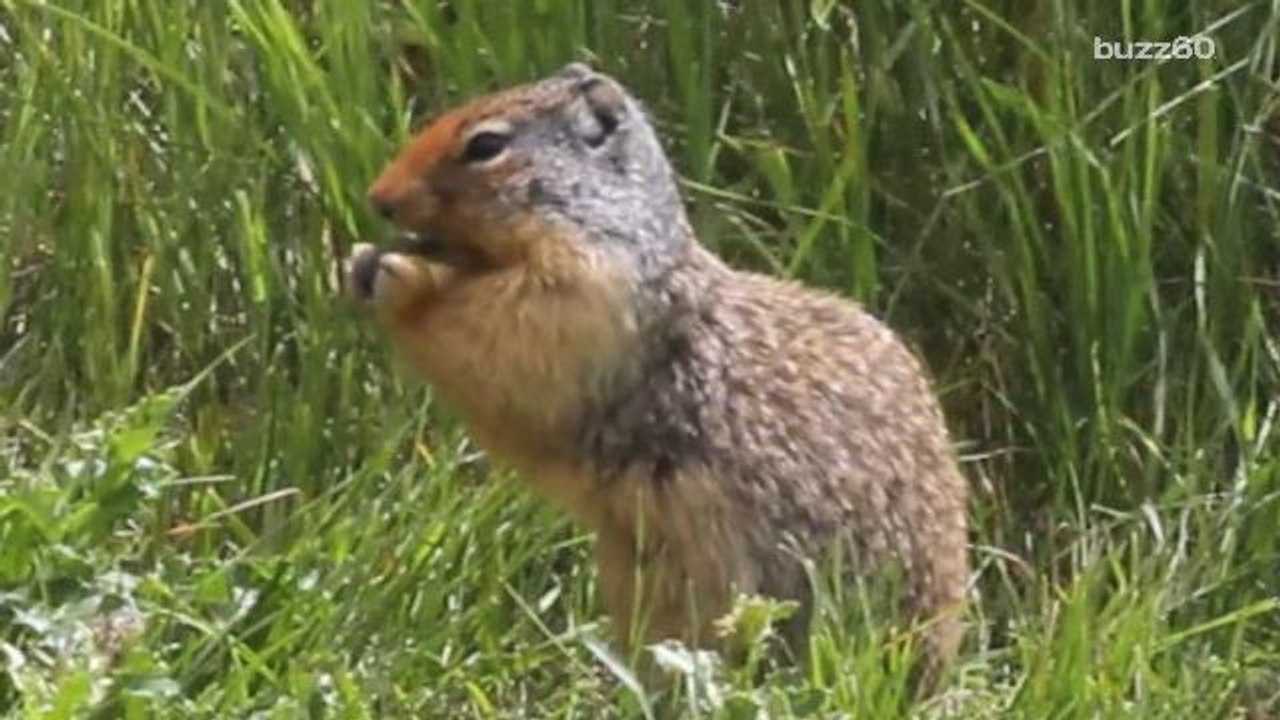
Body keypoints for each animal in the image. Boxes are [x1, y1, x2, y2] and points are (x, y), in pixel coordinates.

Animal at [347, 63, 968, 678]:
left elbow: (496, 333)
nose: (379, 198)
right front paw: (360, 258)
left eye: (485, 145)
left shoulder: (580, 295)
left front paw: (399, 274)